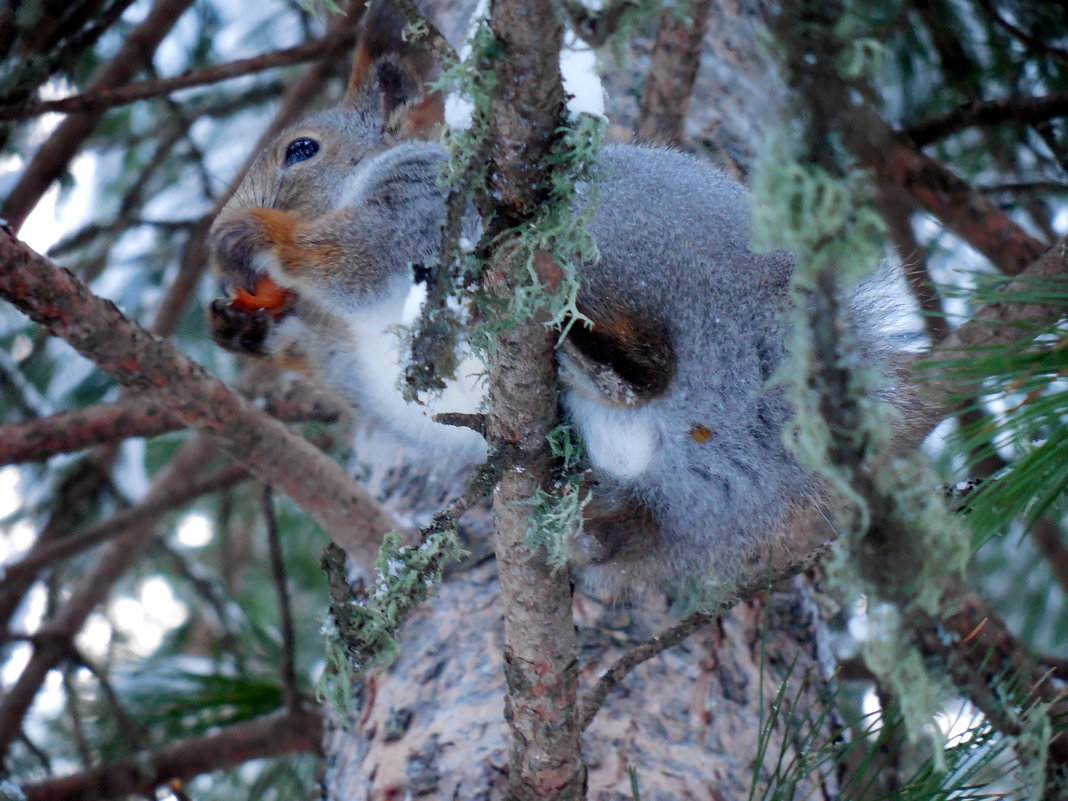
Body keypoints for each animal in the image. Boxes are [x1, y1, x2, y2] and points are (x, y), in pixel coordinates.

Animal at [210, 3, 927, 593]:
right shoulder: (369, 364)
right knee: (629, 519)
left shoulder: (419, 203)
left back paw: (591, 356)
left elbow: (357, 257)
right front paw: (249, 330)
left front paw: (253, 235)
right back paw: (588, 520)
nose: (225, 226)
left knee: (652, 364)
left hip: (619, 245)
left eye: (301, 149)